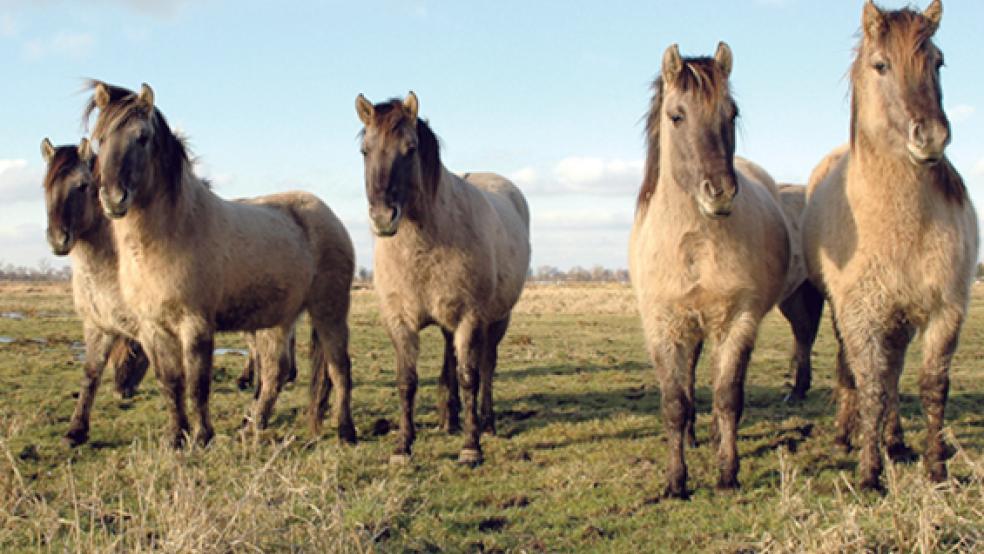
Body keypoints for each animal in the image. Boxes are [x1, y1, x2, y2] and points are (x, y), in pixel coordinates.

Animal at [40, 139, 150, 444]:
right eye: (46, 186)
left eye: (81, 186)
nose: (58, 239)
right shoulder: (97, 324)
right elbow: (91, 372)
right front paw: (76, 431)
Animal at [86, 81, 358, 444]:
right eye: (100, 138)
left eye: (142, 137)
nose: (113, 199)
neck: (173, 233)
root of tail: (328, 215)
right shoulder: (154, 327)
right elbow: (171, 383)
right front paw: (176, 437)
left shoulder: (196, 324)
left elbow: (197, 384)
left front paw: (202, 437)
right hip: (276, 320)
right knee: (275, 373)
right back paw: (253, 426)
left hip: (329, 311)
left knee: (338, 368)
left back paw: (346, 431)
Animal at [356, 92, 532, 464]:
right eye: (365, 150)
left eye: (410, 148)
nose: (382, 218)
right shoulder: (400, 320)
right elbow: (407, 380)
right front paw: (403, 446)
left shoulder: (469, 319)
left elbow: (469, 377)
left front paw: (471, 446)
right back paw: (448, 419)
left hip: (497, 319)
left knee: (487, 367)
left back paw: (487, 423)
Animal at [632, 41, 792, 494]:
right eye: (676, 115)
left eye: (731, 113)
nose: (719, 192)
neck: (694, 245)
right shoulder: (661, 325)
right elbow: (674, 400)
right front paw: (676, 481)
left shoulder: (738, 321)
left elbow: (727, 395)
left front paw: (727, 473)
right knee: (688, 377)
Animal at [808, 1, 976, 492]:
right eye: (881, 65)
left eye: (938, 62)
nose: (932, 137)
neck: (901, 226)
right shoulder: (860, 315)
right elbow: (871, 386)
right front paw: (868, 475)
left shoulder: (945, 311)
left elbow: (931, 386)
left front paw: (936, 469)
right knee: (858, 373)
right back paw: (849, 436)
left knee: (895, 372)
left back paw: (896, 441)